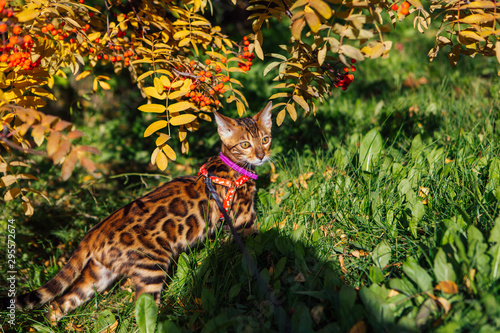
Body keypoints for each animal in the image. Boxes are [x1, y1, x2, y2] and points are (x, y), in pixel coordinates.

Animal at [0, 102, 274, 322]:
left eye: (266, 139)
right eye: (245, 144)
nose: (262, 155)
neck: (231, 164)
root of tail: (94, 233)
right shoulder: (244, 220)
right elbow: (258, 249)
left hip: (98, 274)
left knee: (60, 302)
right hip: (151, 268)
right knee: (142, 309)